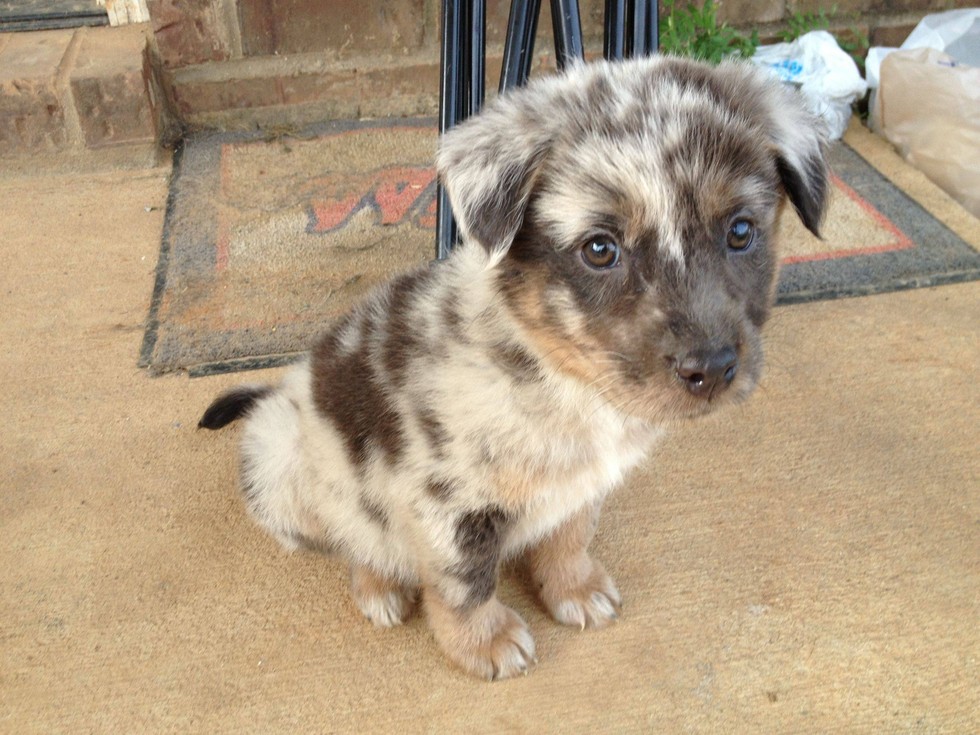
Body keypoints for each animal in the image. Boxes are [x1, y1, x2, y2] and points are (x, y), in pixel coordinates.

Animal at [199, 57, 828, 684]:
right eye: (600, 249)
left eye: (740, 231)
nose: (713, 370)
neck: (566, 382)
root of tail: (278, 393)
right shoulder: (446, 501)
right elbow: (465, 585)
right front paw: (486, 643)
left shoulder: (582, 484)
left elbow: (569, 538)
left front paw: (575, 590)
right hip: (281, 465)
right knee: (350, 538)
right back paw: (379, 585)